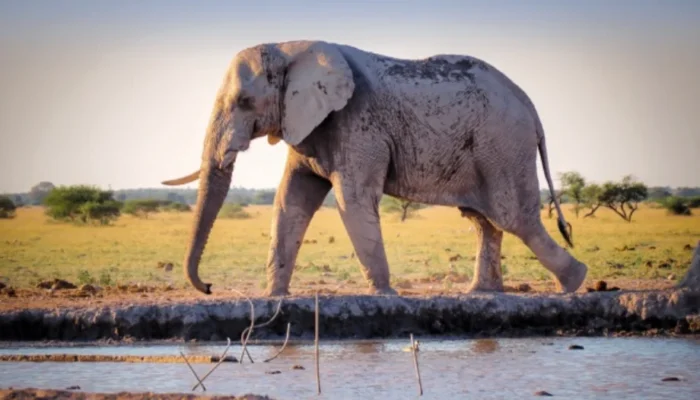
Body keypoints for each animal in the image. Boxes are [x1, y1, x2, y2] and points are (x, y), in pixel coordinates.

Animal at [161, 40, 588, 297]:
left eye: (244, 102)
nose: (209, 287)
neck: (290, 46)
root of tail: (530, 106)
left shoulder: (356, 122)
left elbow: (353, 200)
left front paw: (385, 295)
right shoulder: (310, 124)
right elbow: (290, 201)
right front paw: (274, 297)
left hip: (503, 145)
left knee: (514, 218)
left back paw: (574, 283)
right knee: (485, 220)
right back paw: (482, 294)